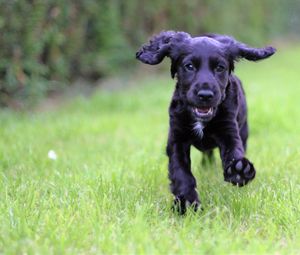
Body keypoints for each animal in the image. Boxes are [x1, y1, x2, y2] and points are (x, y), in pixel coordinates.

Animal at [136, 30, 276, 213]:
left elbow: (233, 151)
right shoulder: (176, 138)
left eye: (220, 68)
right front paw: (187, 203)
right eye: (189, 66)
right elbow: (181, 172)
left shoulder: (228, 129)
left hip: (244, 129)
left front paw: (239, 170)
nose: (205, 95)